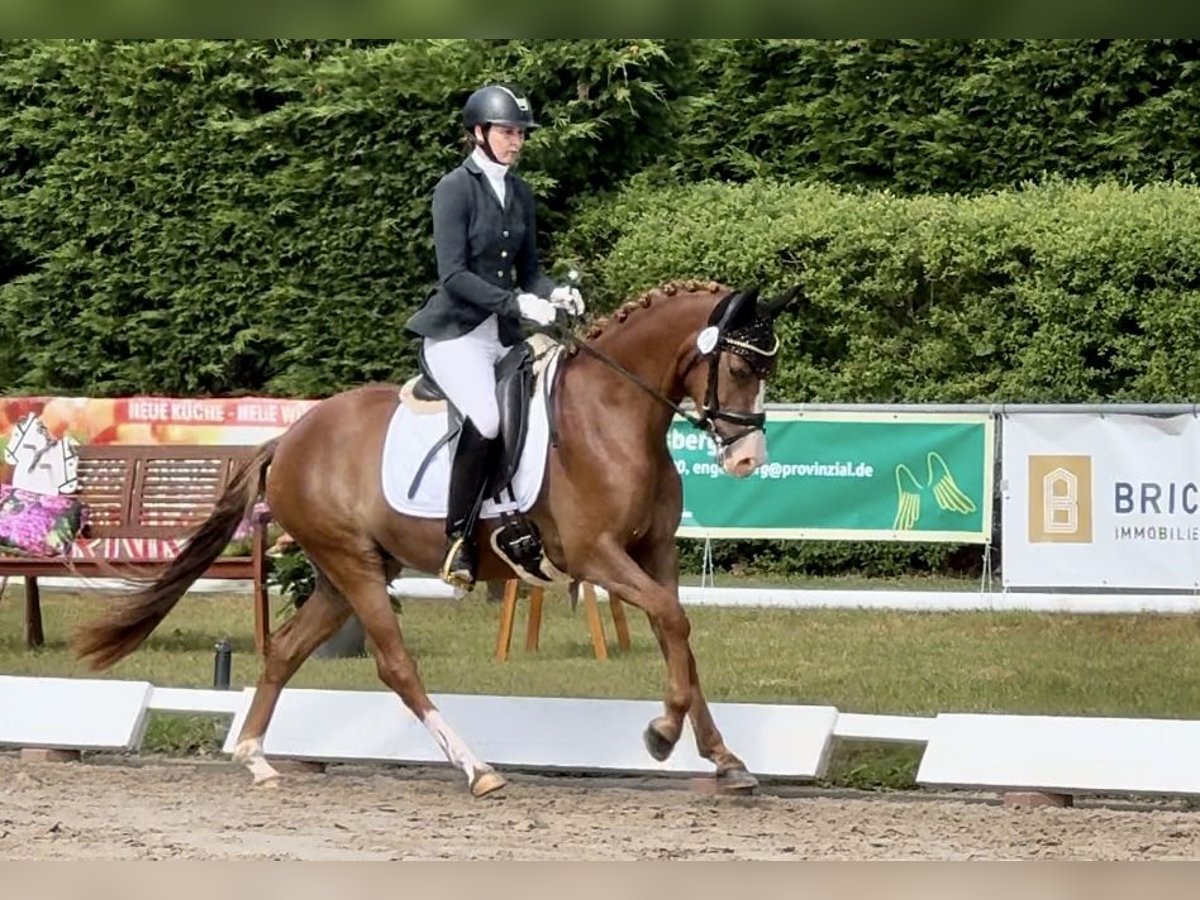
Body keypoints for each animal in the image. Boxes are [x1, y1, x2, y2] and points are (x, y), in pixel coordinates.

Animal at [70, 280, 792, 796]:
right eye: (738, 369)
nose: (747, 460)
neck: (614, 415)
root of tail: (290, 436)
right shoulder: (597, 556)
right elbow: (671, 620)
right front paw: (663, 734)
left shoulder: (655, 554)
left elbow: (679, 634)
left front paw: (725, 760)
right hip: (354, 567)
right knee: (395, 665)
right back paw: (477, 769)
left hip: (344, 573)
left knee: (285, 652)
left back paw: (255, 760)